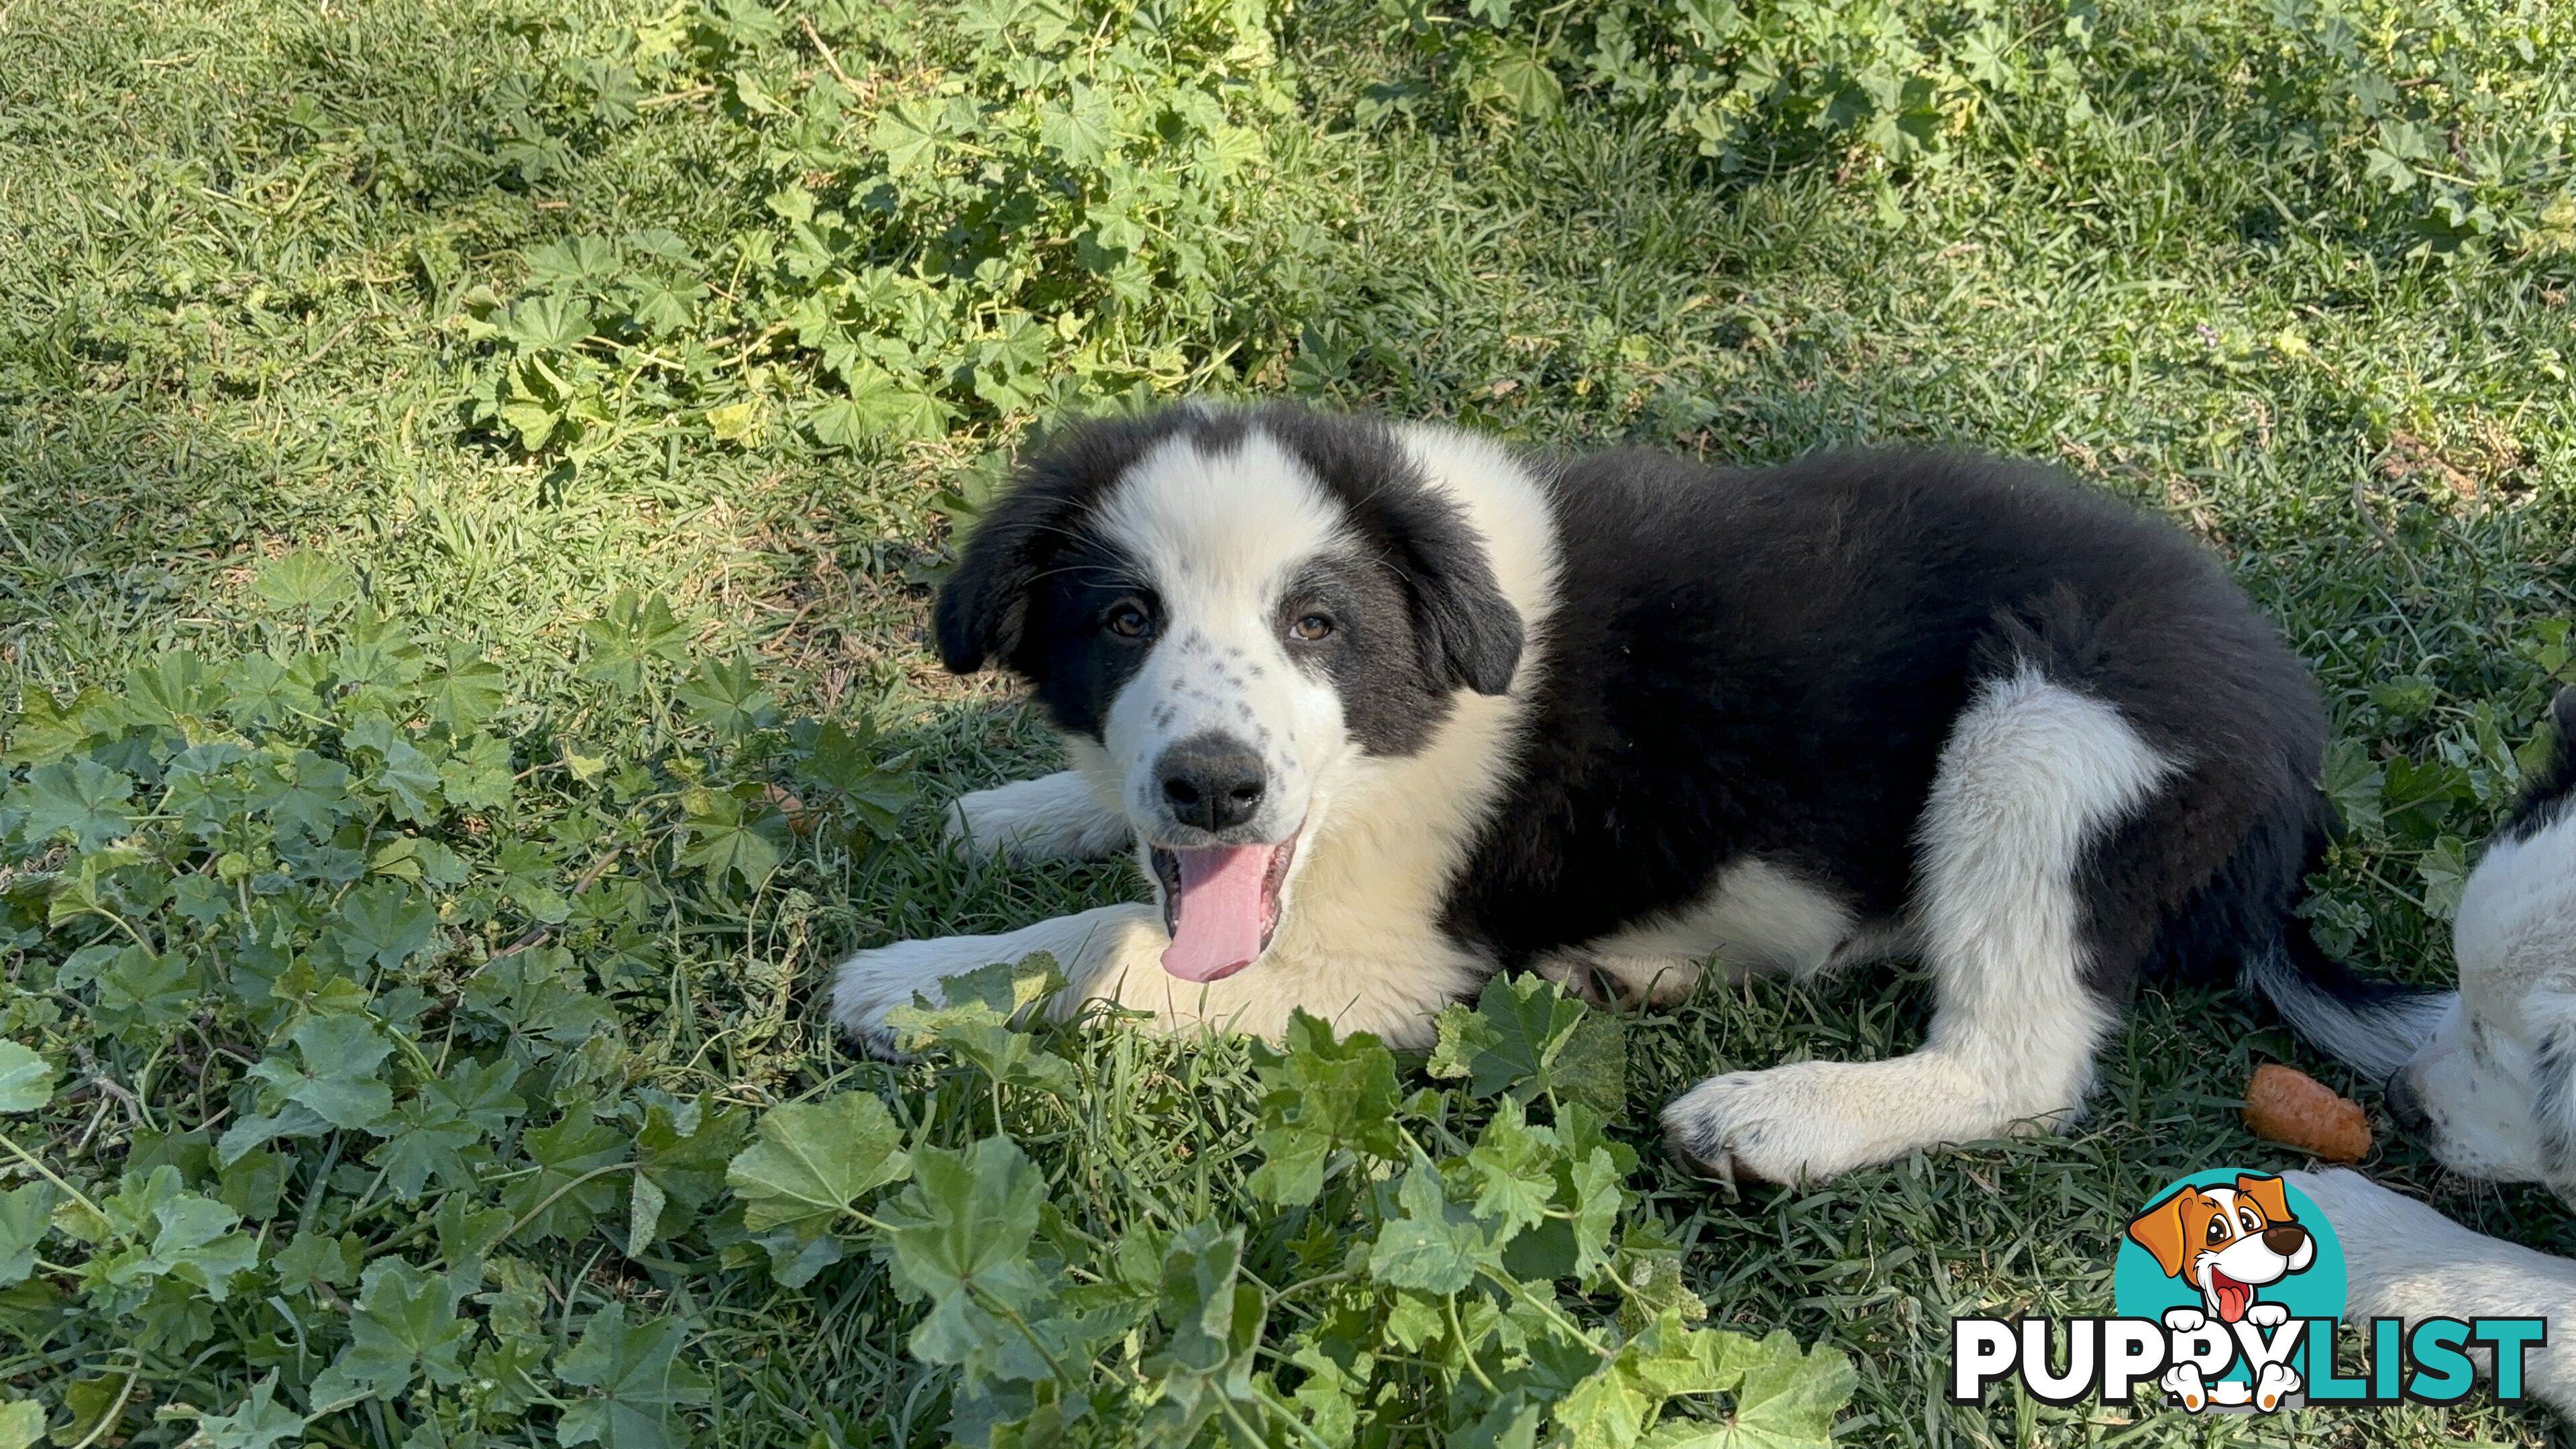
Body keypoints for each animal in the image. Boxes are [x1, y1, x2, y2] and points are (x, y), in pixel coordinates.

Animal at [839, 399, 2359, 1181]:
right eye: (1124, 622)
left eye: (1315, 625)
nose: (1213, 788)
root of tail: (2294, 767)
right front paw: (1015, 813)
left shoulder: (1393, 968)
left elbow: (1109, 945)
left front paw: (917, 979)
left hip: (2044, 730)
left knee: (2022, 1062)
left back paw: (1780, 1117)